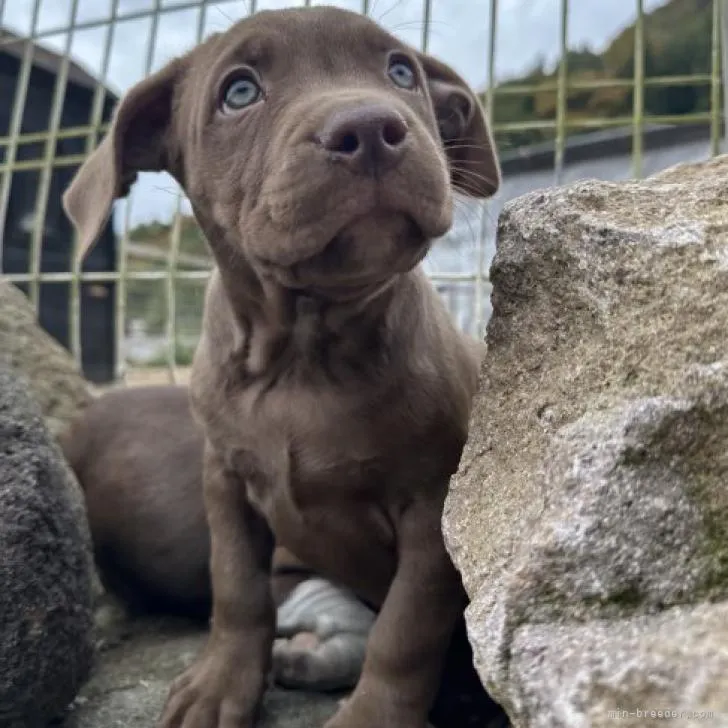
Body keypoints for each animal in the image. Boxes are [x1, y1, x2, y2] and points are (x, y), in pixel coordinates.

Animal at [62, 7, 498, 728]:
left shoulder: (432, 508)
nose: (368, 129)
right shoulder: (225, 482)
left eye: (401, 71)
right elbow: (237, 591)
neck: (303, 354)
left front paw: (372, 716)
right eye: (239, 92)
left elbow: (406, 629)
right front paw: (220, 686)